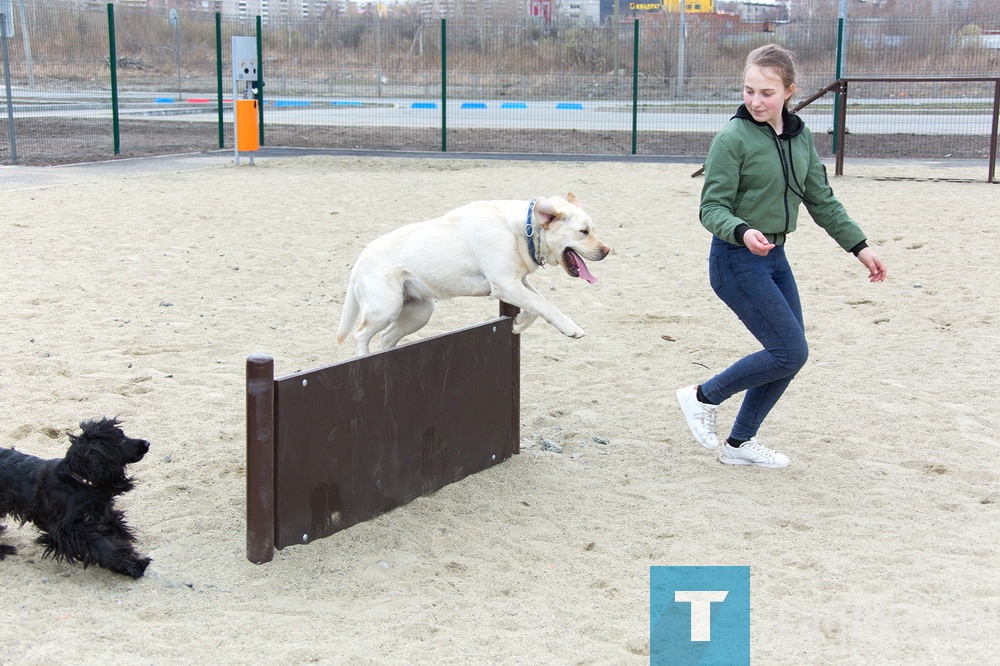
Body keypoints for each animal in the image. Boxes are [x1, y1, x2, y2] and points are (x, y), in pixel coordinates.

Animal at [0, 420, 150, 576]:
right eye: (120, 439)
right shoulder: (70, 529)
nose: (147, 443)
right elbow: (102, 545)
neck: (79, 481)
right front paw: (131, 565)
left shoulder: (103, 515)